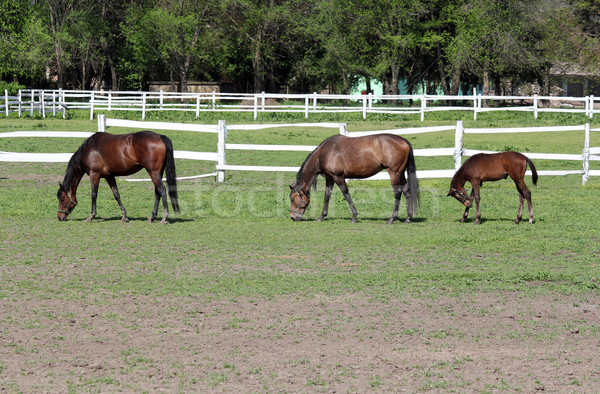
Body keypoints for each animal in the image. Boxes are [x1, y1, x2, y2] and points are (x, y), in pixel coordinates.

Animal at [288, 133, 420, 223]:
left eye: (293, 199)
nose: (293, 217)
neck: (324, 153)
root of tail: (403, 140)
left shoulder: (338, 177)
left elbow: (346, 194)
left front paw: (354, 216)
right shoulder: (329, 178)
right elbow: (327, 196)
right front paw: (322, 216)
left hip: (394, 173)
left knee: (397, 193)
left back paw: (392, 218)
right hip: (401, 173)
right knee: (406, 191)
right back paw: (408, 218)